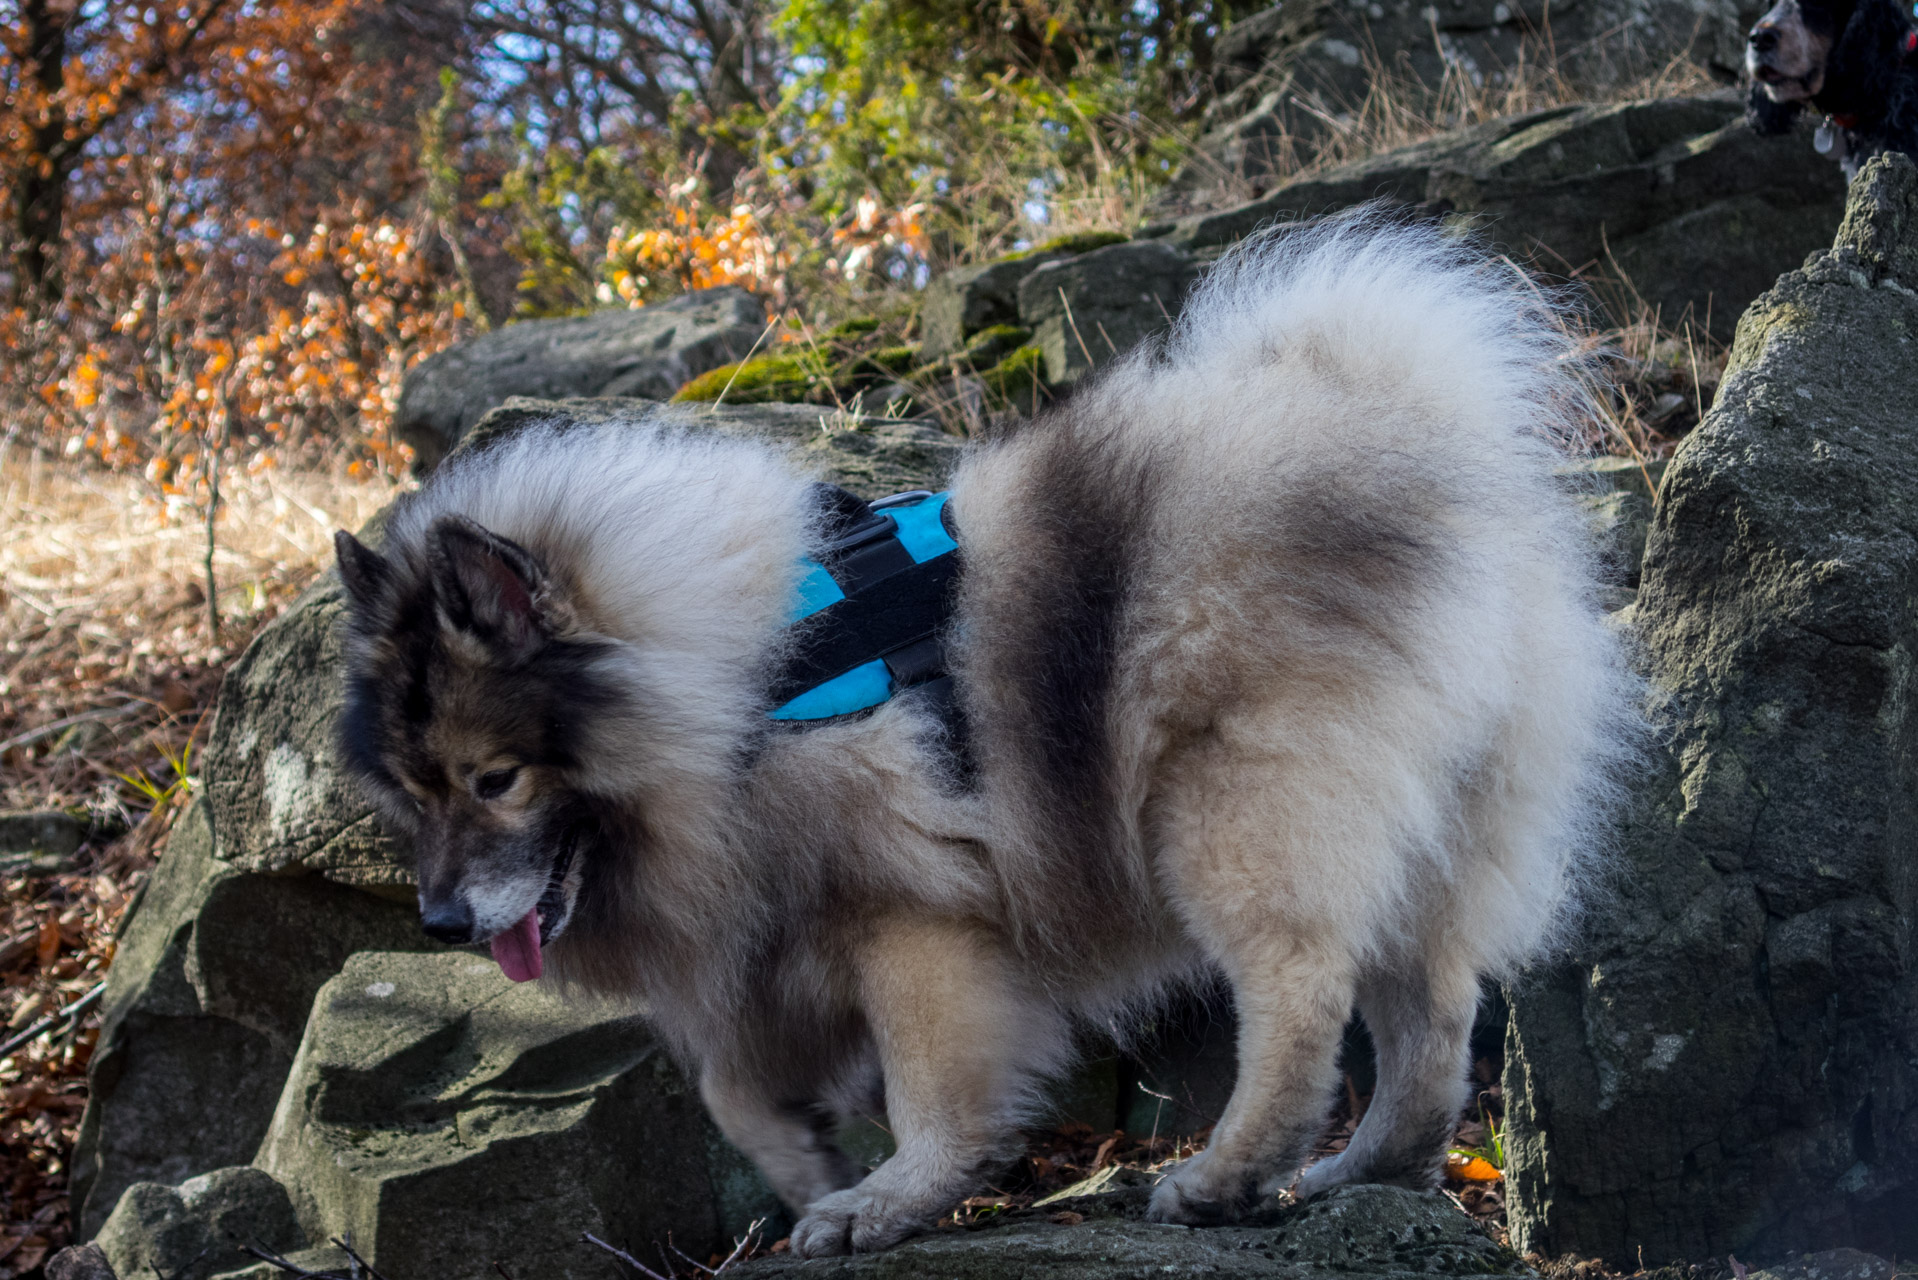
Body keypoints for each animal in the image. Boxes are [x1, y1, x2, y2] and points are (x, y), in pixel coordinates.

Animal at [326, 213, 1634, 1258]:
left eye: (496, 778)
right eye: (415, 793)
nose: (438, 920)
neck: (732, 690)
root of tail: (1421, 449)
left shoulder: (910, 917)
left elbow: (931, 1088)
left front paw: (888, 1197)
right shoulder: (772, 939)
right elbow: (736, 1091)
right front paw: (812, 1171)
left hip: (1230, 812)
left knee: (1300, 991)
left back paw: (1226, 1171)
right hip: (1431, 823)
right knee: (1431, 1021)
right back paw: (1360, 1169)